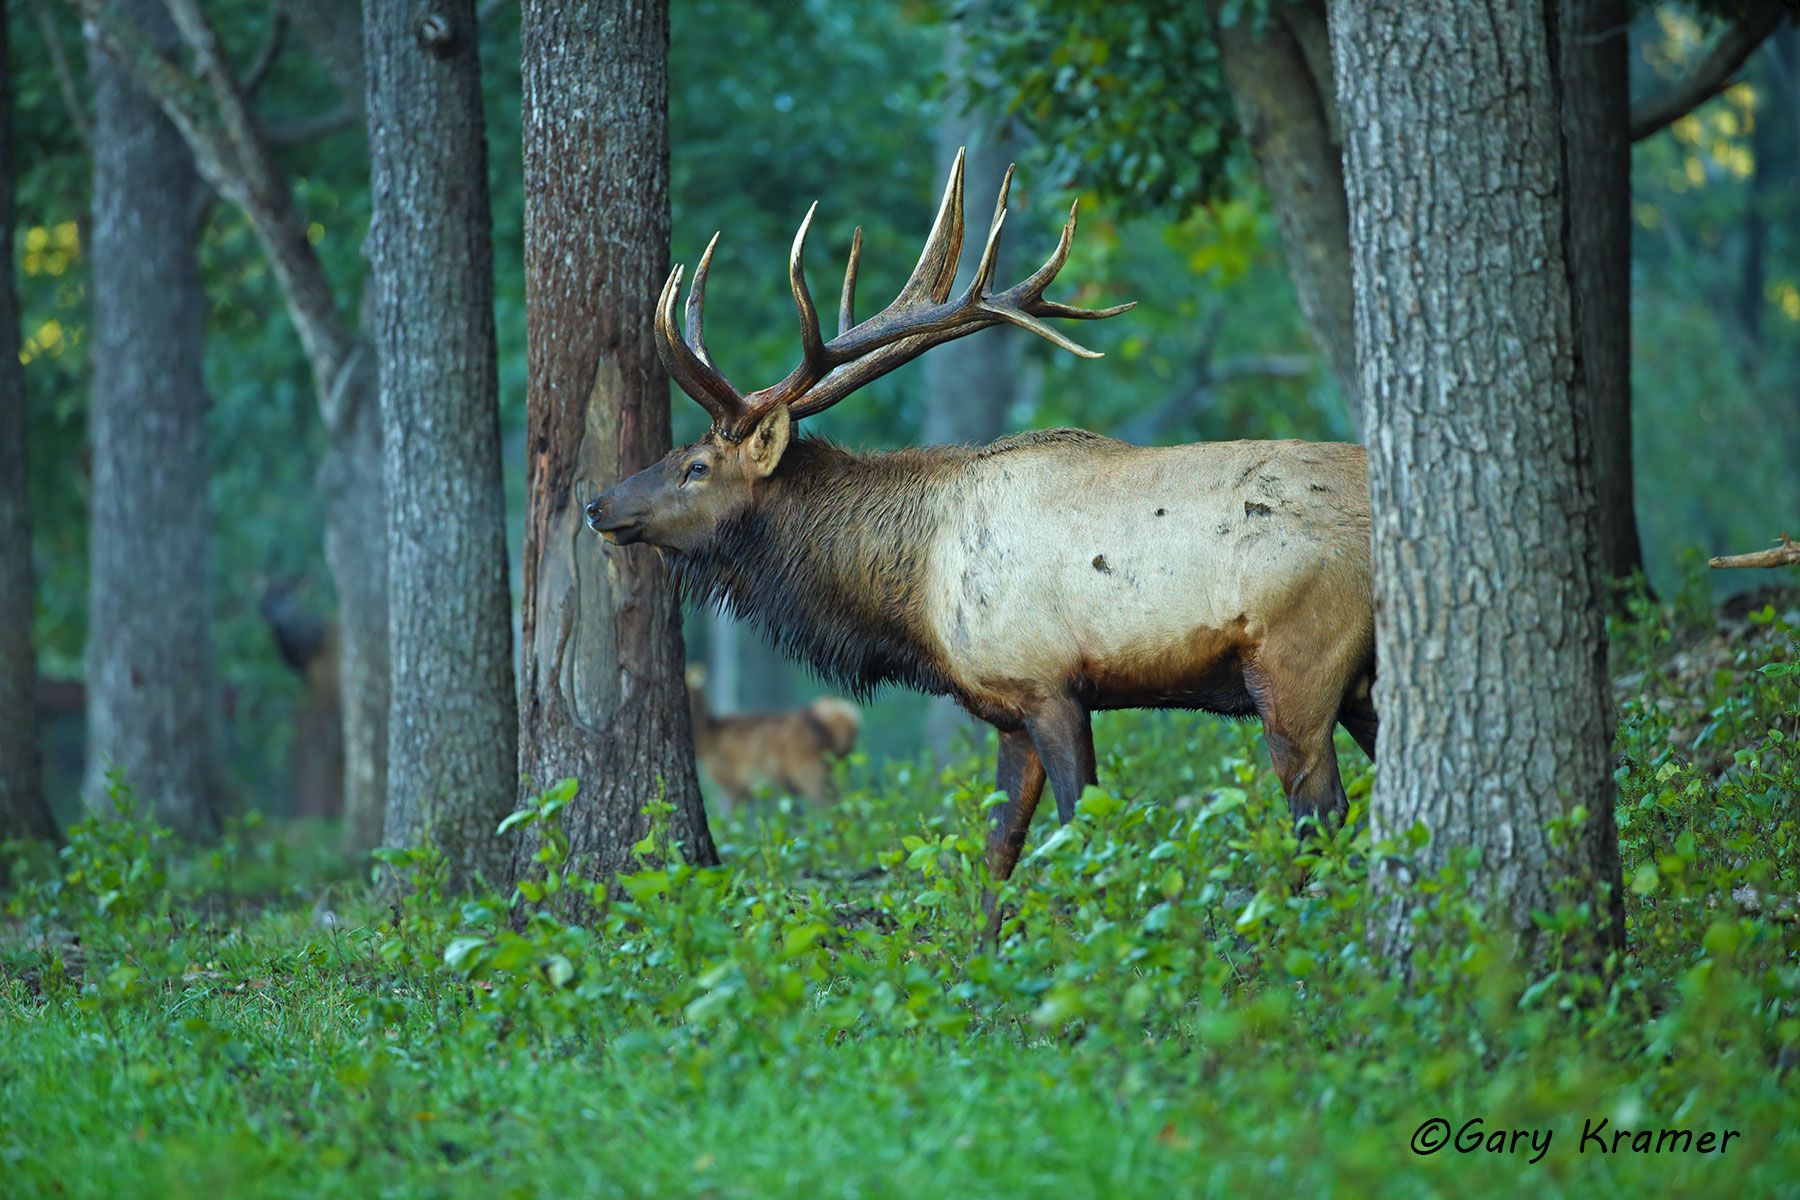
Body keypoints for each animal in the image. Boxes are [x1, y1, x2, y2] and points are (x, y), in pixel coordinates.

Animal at [585, 149, 1376, 888]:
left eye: (696, 466)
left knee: (1320, 810)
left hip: (1296, 664)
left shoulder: (1048, 682)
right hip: (1358, 680)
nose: (598, 504)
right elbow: (998, 853)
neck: (914, 605)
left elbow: (1080, 830)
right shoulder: (1006, 709)